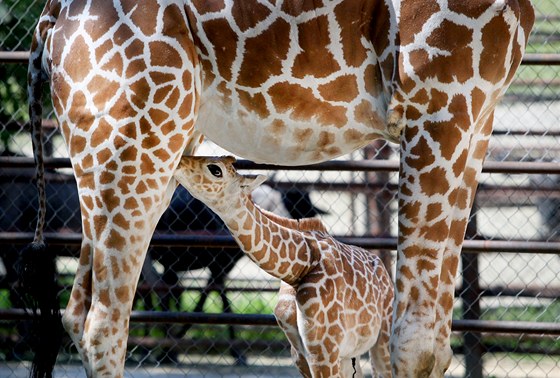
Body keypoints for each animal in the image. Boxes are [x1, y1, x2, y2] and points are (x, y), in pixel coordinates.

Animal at [175, 155, 394, 376]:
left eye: (216, 170)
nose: (179, 163)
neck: (300, 267)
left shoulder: (324, 348)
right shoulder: (300, 353)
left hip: (382, 338)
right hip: (349, 354)